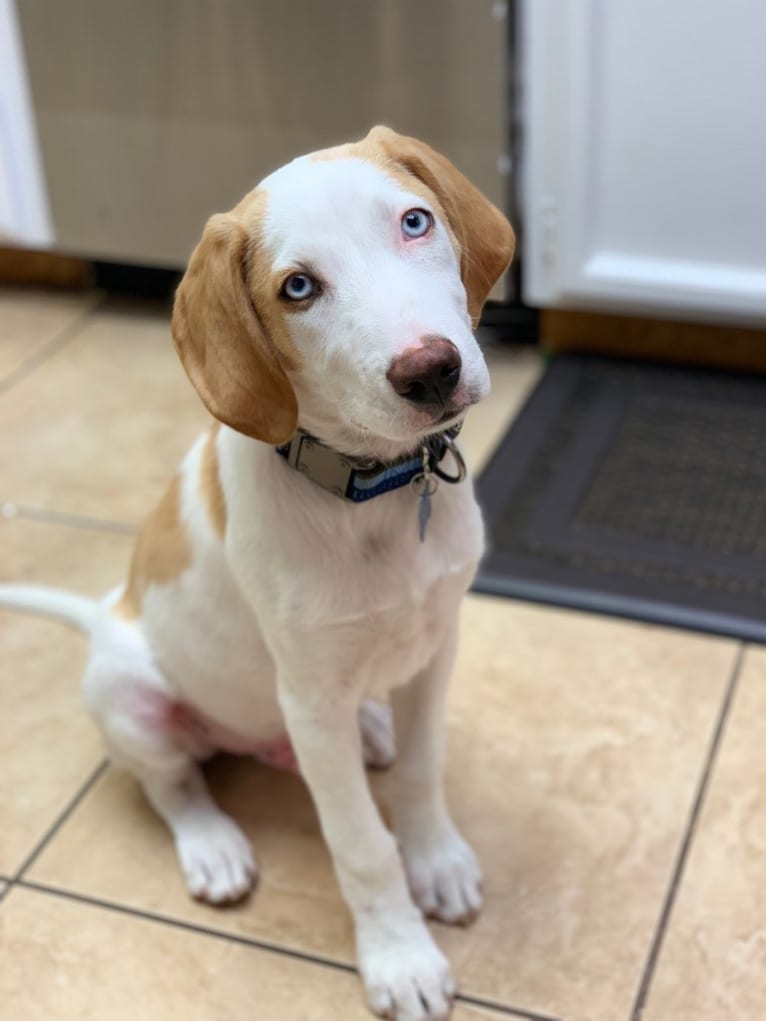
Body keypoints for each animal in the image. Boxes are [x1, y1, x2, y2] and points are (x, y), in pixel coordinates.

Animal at [1, 129, 516, 1021]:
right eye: (298, 287)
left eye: (415, 221)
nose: (430, 370)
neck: (378, 493)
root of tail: (106, 611)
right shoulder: (309, 695)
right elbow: (361, 843)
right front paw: (400, 955)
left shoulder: (437, 643)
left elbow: (421, 773)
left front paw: (437, 859)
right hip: (133, 699)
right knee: (169, 781)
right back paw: (212, 843)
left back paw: (370, 730)